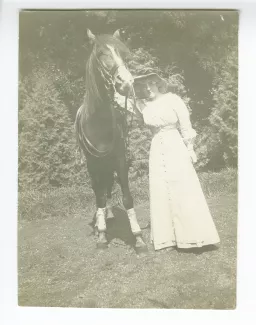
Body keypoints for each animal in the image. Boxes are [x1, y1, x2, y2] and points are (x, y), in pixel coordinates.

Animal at [75, 29, 147, 252]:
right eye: (101, 53)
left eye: (122, 53)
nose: (126, 82)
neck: (99, 121)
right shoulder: (94, 165)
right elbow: (98, 197)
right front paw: (101, 235)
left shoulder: (120, 161)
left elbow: (127, 197)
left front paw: (138, 238)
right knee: (99, 191)